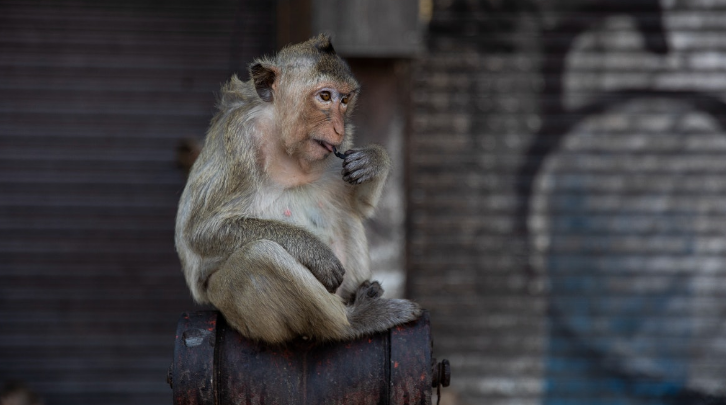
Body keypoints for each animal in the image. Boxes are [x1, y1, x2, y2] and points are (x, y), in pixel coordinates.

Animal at [176, 35, 424, 344]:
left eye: (345, 100)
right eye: (325, 97)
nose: (338, 129)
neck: (282, 138)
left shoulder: (341, 148)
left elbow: (358, 207)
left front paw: (374, 160)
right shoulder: (239, 139)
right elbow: (201, 231)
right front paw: (314, 251)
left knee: (344, 214)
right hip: (237, 311)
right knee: (256, 256)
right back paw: (355, 321)